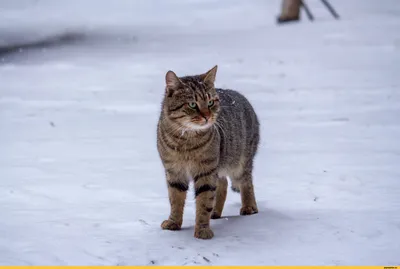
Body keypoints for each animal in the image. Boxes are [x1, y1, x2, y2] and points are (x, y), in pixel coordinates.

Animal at [155, 65, 260, 239]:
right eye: (192, 104)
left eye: (210, 102)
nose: (207, 116)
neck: (186, 142)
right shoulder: (174, 171)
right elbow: (175, 199)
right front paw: (174, 222)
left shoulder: (206, 171)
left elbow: (204, 201)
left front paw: (202, 229)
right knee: (223, 184)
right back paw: (216, 212)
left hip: (240, 162)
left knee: (246, 182)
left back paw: (249, 206)